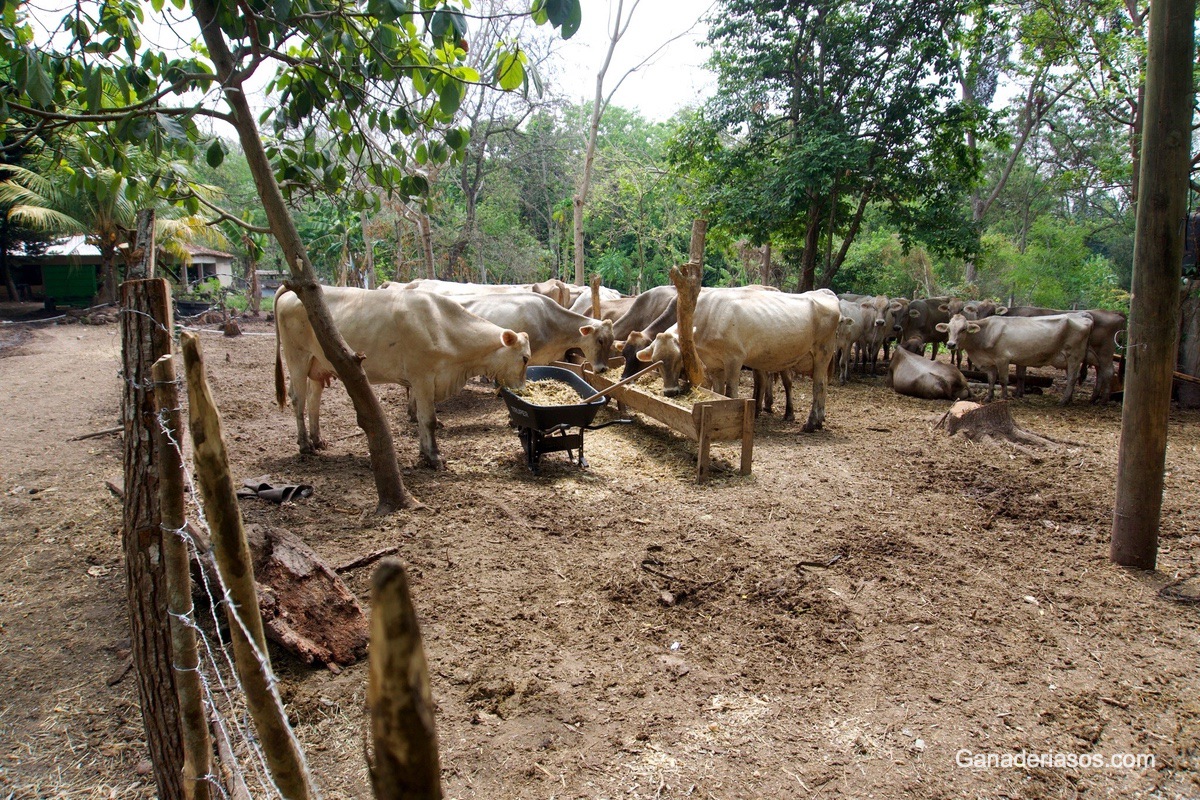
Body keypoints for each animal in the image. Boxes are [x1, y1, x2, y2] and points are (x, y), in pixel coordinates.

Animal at [278, 286, 532, 470]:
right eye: (525, 358)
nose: (521, 389)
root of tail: (291, 291)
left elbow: (421, 418)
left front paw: (424, 453)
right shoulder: (423, 378)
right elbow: (428, 419)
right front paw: (433, 458)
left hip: (318, 365)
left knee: (314, 400)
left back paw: (317, 439)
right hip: (297, 357)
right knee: (298, 399)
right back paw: (305, 445)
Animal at [633, 284, 840, 429]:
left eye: (679, 359)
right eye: (655, 362)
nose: (670, 392)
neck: (708, 316)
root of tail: (825, 293)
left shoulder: (734, 359)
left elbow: (730, 391)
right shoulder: (714, 364)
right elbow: (718, 391)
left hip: (822, 352)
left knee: (818, 385)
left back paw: (811, 423)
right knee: (822, 384)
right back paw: (819, 419)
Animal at [936, 309, 1099, 402]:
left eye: (963, 329)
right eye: (948, 329)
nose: (951, 344)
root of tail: (1082, 314)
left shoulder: (1003, 359)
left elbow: (1003, 380)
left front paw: (1004, 398)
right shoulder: (989, 362)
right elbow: (991, 380)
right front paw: (989, 397)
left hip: (1074, 357)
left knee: (1072, 378)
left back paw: (1064, 401)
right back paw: (1069, 399)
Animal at [993, 309, 1123, 407]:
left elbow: (1019, 375)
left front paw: (1018, 393)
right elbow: (1020, 375)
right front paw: (1018, 393)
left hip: (1091, 354)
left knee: (1096, 374)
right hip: (1094, 357)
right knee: (1099, 373)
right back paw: (1091, 399)